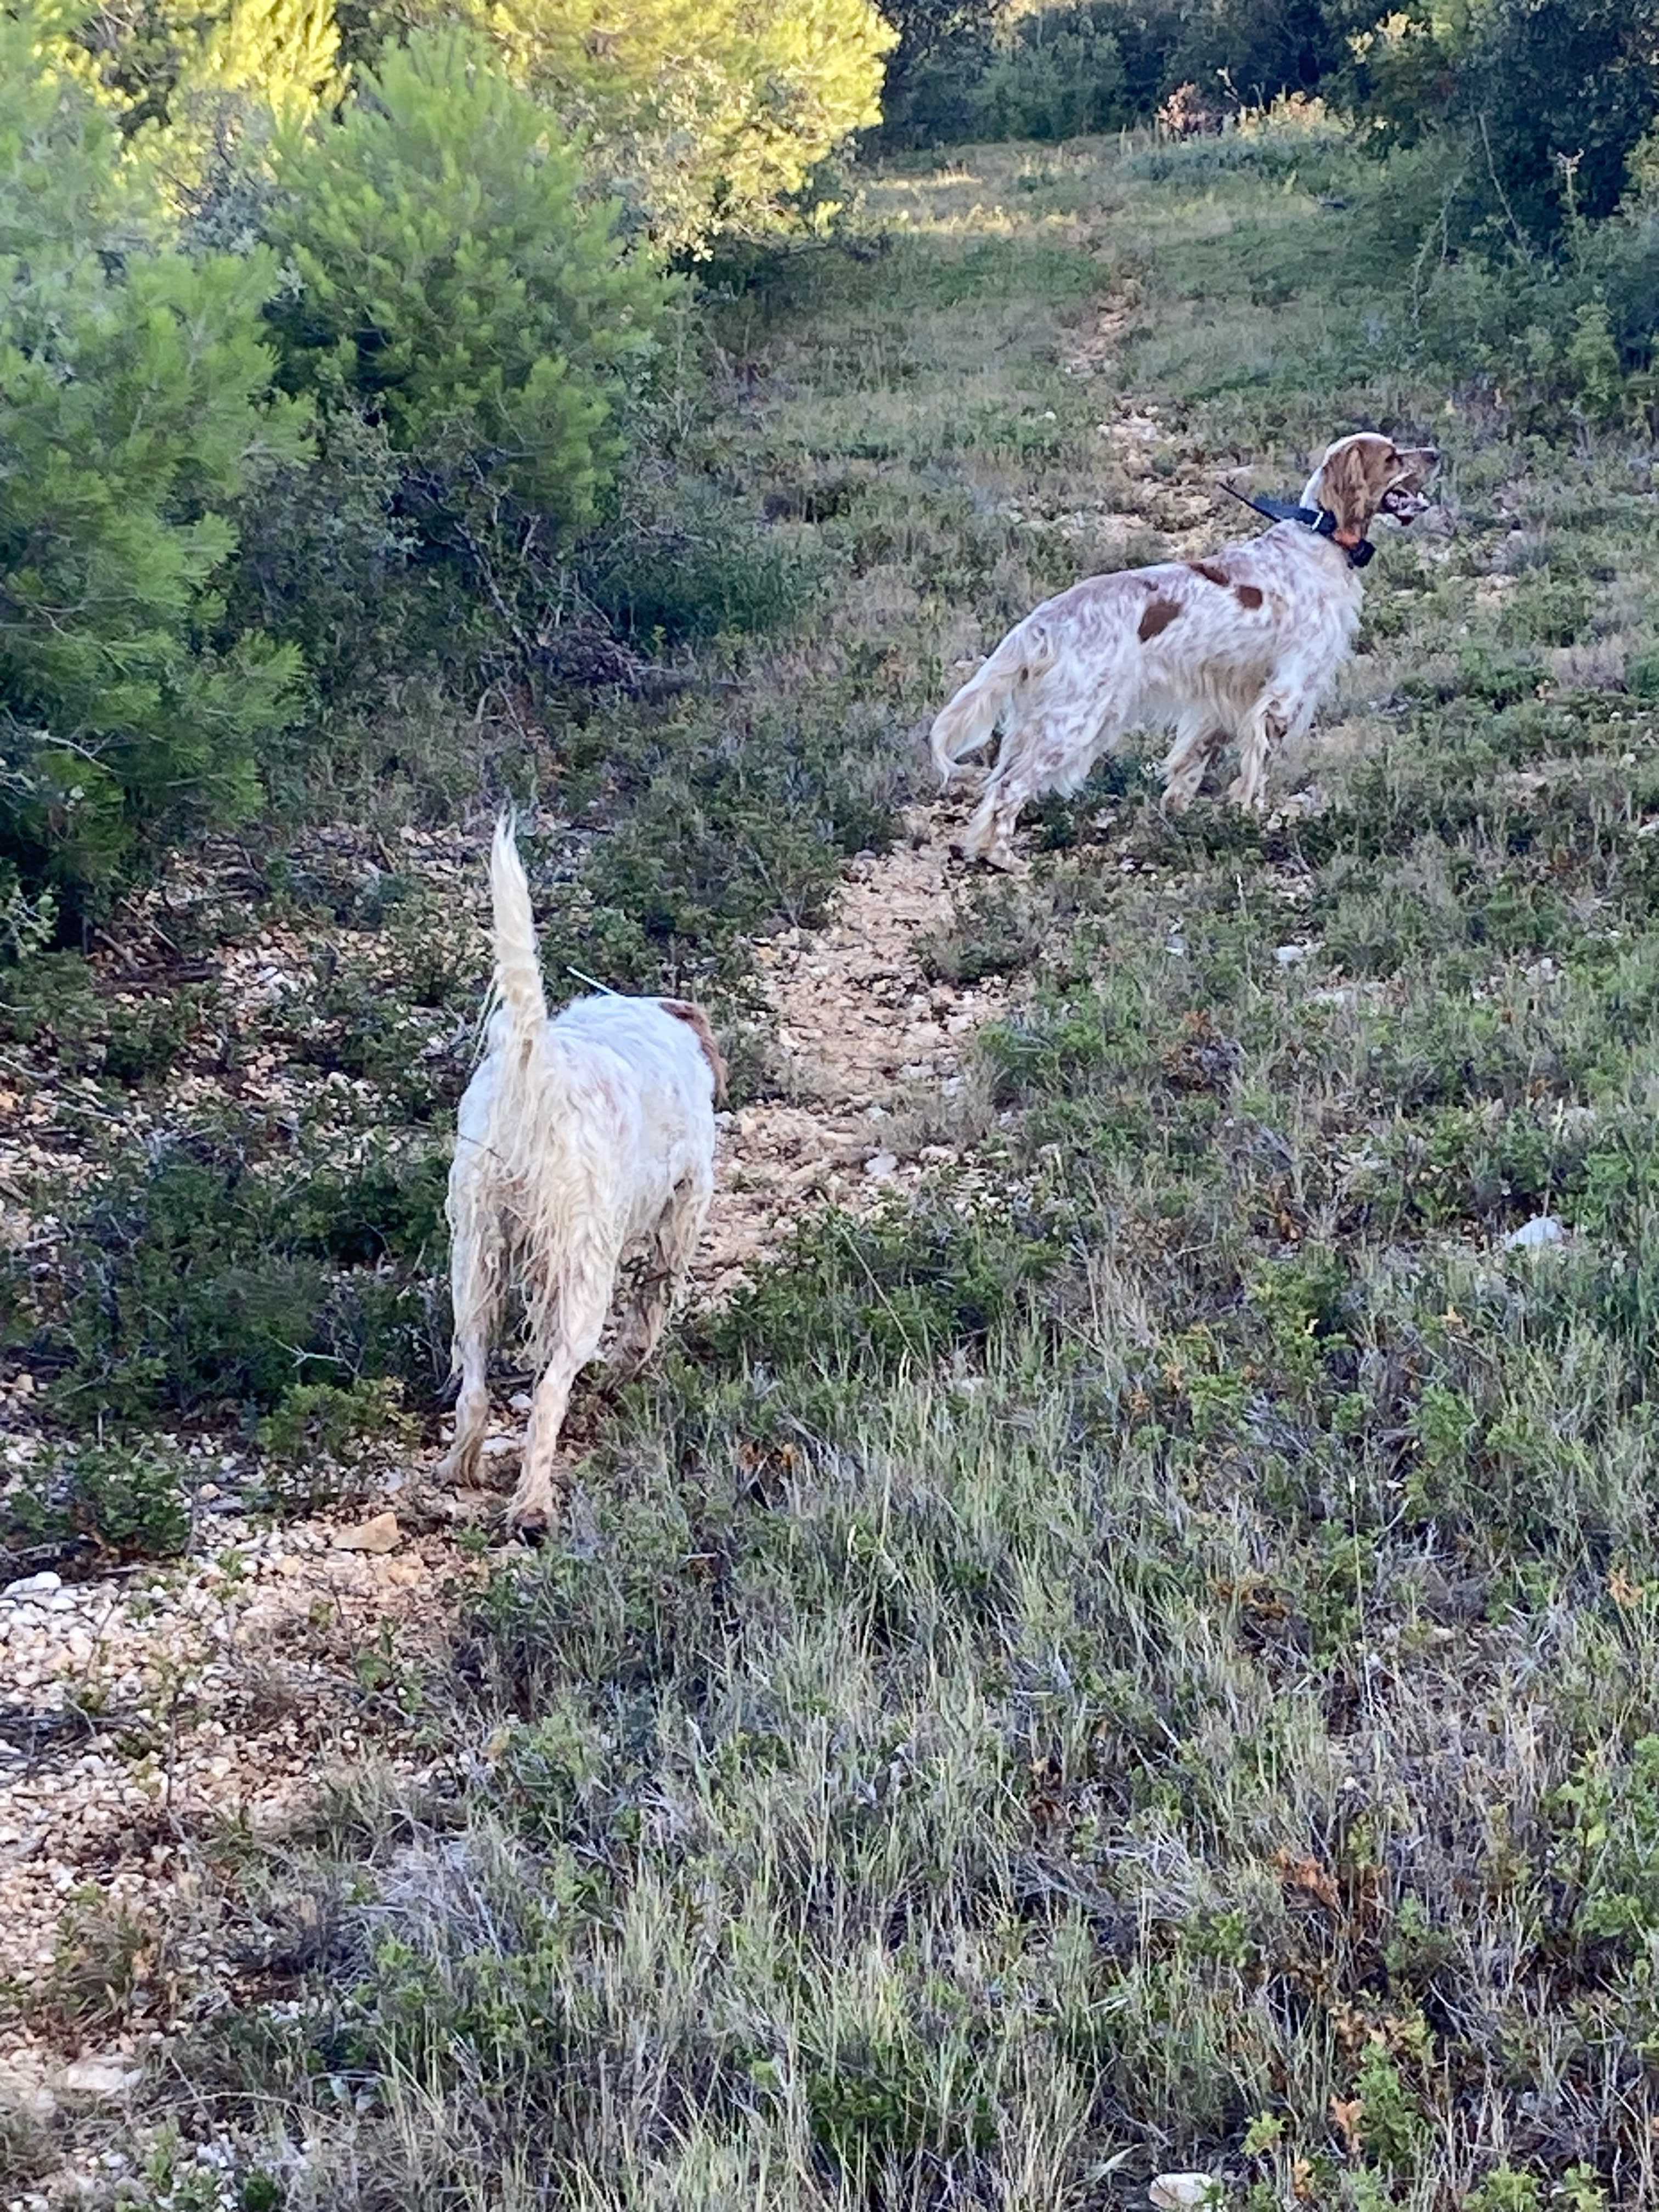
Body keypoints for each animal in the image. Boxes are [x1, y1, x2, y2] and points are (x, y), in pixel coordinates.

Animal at [444, 818, 725, 1539]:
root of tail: (537, 1071)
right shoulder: (686, 1205)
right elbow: (651, 1304)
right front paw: (633, 1364)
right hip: (580, 1274)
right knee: (549, 1394)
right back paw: (533, 1506)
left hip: (474, 1263)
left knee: (475, 1384)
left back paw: (459, 1467)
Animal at [938, 427, 1442, 867]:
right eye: (1392, 457)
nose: (1437, 454)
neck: (1319, 540)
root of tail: (1043, 621)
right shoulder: (1286, 692)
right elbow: (1257, 770)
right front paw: (1254, 820)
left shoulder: (1224, 698)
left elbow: (1192, 763)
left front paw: (1180, 815)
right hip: (1073, 723)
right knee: (1009, 788)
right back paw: (1002, 857)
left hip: (1044, 722)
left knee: (1000, 781)